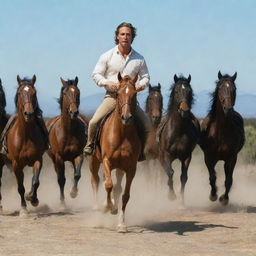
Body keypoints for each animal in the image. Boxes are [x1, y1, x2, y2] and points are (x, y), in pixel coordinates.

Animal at [4, 75, 45, 215]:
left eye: (34, 93)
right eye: (19, 93)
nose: (29, 113)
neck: (26, 136)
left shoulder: (38, 159)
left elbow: (36, 181)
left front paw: (33, 198)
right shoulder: (16, 164)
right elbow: (20, 187)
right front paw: (23, 209)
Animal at [46, 77, 88, 207]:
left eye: (78, 92)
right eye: (65, 93)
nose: (74, 112)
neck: (69, 131)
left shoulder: (79, 155)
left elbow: (77, 175)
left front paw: (73, 192)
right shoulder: (59, 158)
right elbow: (61, 180)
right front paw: (62, 203)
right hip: (54, 159)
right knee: (59, 176)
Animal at [87, 73, 140, 233]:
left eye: (135, 94)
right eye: (118, 93)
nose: (126, 117)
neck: (122, 134)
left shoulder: (130, 168)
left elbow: (125, 195)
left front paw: (121, 224)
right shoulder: (106, 161)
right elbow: (108, 185)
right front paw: (107, 207)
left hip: (119, 168)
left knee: (117, 187)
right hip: (94, 162)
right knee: (96, 181)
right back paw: (98, 208)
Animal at [158, 74, 200, 204]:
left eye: (189, 91)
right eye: (176, 91)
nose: (184, 111)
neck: (178, 131)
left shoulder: (186, 156)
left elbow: (183, 177)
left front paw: (181, 201)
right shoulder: (166, 155)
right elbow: (170, 173)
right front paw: (171, 196)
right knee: (166, 171)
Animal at [200, 71, 244, 205]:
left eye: (234, 89)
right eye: (220, 88)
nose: (228, 109)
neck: (220, 132)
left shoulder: (232, 158)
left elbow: (228, 180)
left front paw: (224, 199)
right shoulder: (208, 158)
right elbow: (212, 177)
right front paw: (213, 195)